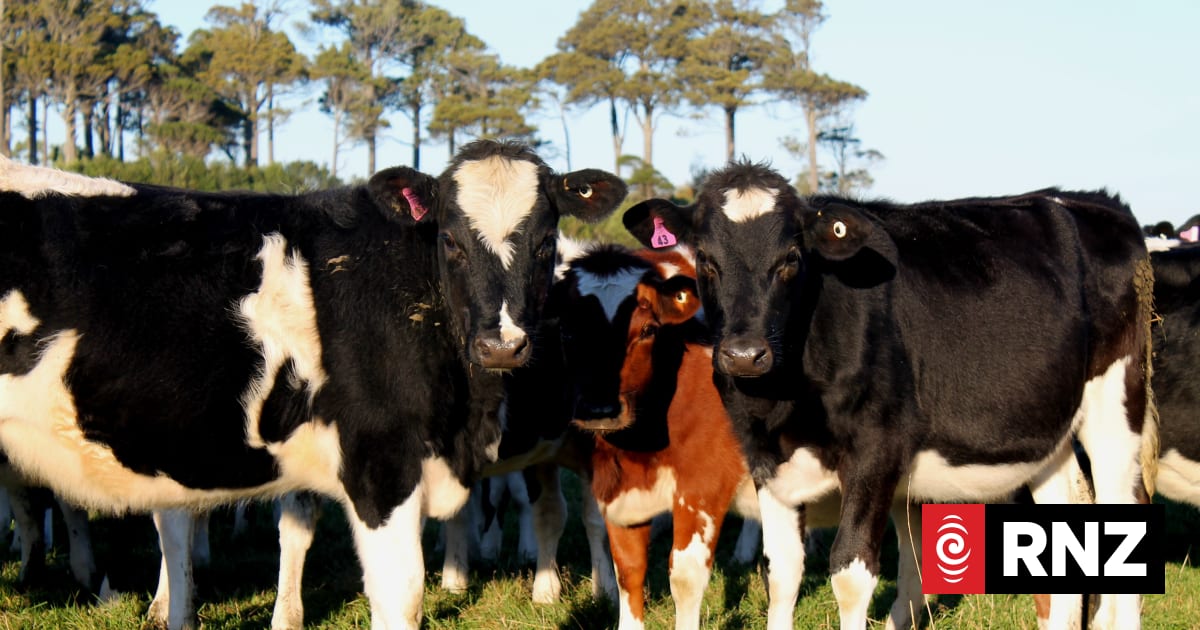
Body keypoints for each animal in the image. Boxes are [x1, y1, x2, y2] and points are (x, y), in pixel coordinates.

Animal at [622, 162, 1157, 630]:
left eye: (791, 259)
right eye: (705, 260)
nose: (743, 355)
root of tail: (1093, 202)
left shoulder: (875, 450)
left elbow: (851, 576)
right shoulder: (765, 457)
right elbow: (783, 572)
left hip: (1116, 407)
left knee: (1124, 513)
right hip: (1050, 433)